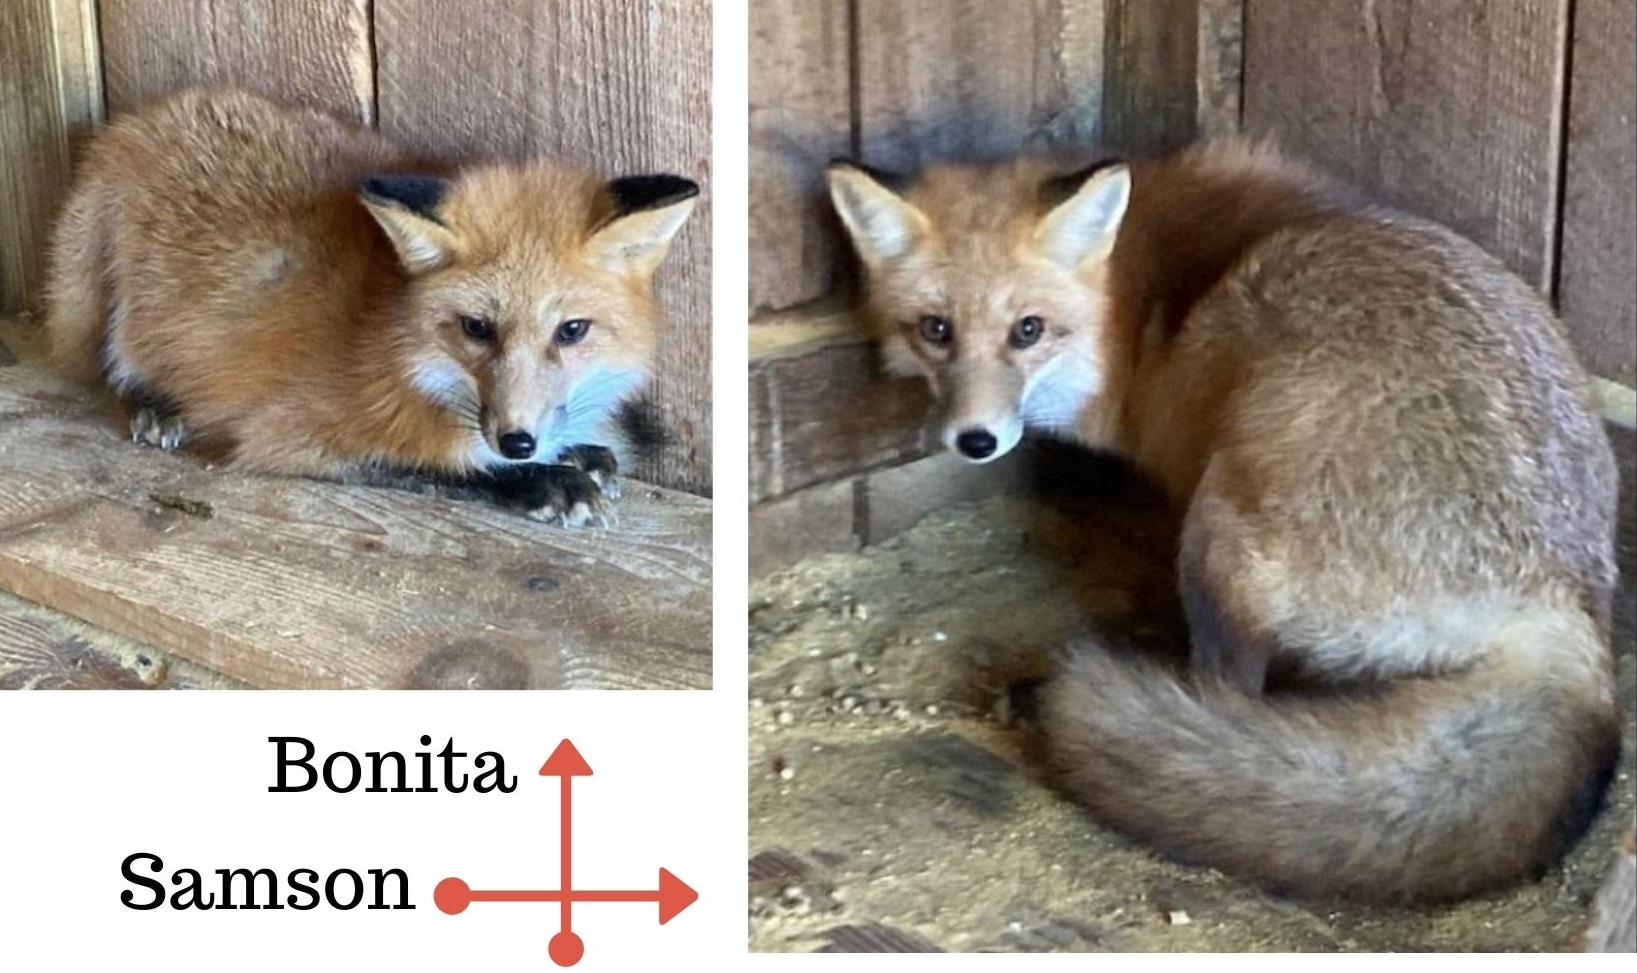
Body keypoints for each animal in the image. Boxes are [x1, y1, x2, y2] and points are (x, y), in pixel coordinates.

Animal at [44, 87, 698, 525]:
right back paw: (154, 403)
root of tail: (135, 123)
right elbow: (441, 468)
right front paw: (538, 481)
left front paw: (576, 453)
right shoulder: (289, 434)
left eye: (572, 330)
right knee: (109, 362)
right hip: (98, 295)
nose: (518, 443)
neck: (399, 344)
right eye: (476, 328)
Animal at [827, 140, 1621, 904]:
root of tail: (1569, 611)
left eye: (1028, 331)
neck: (1134, 309)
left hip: (1216, 533)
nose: (976, 439)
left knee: (1235, 690)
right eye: (935, 330)